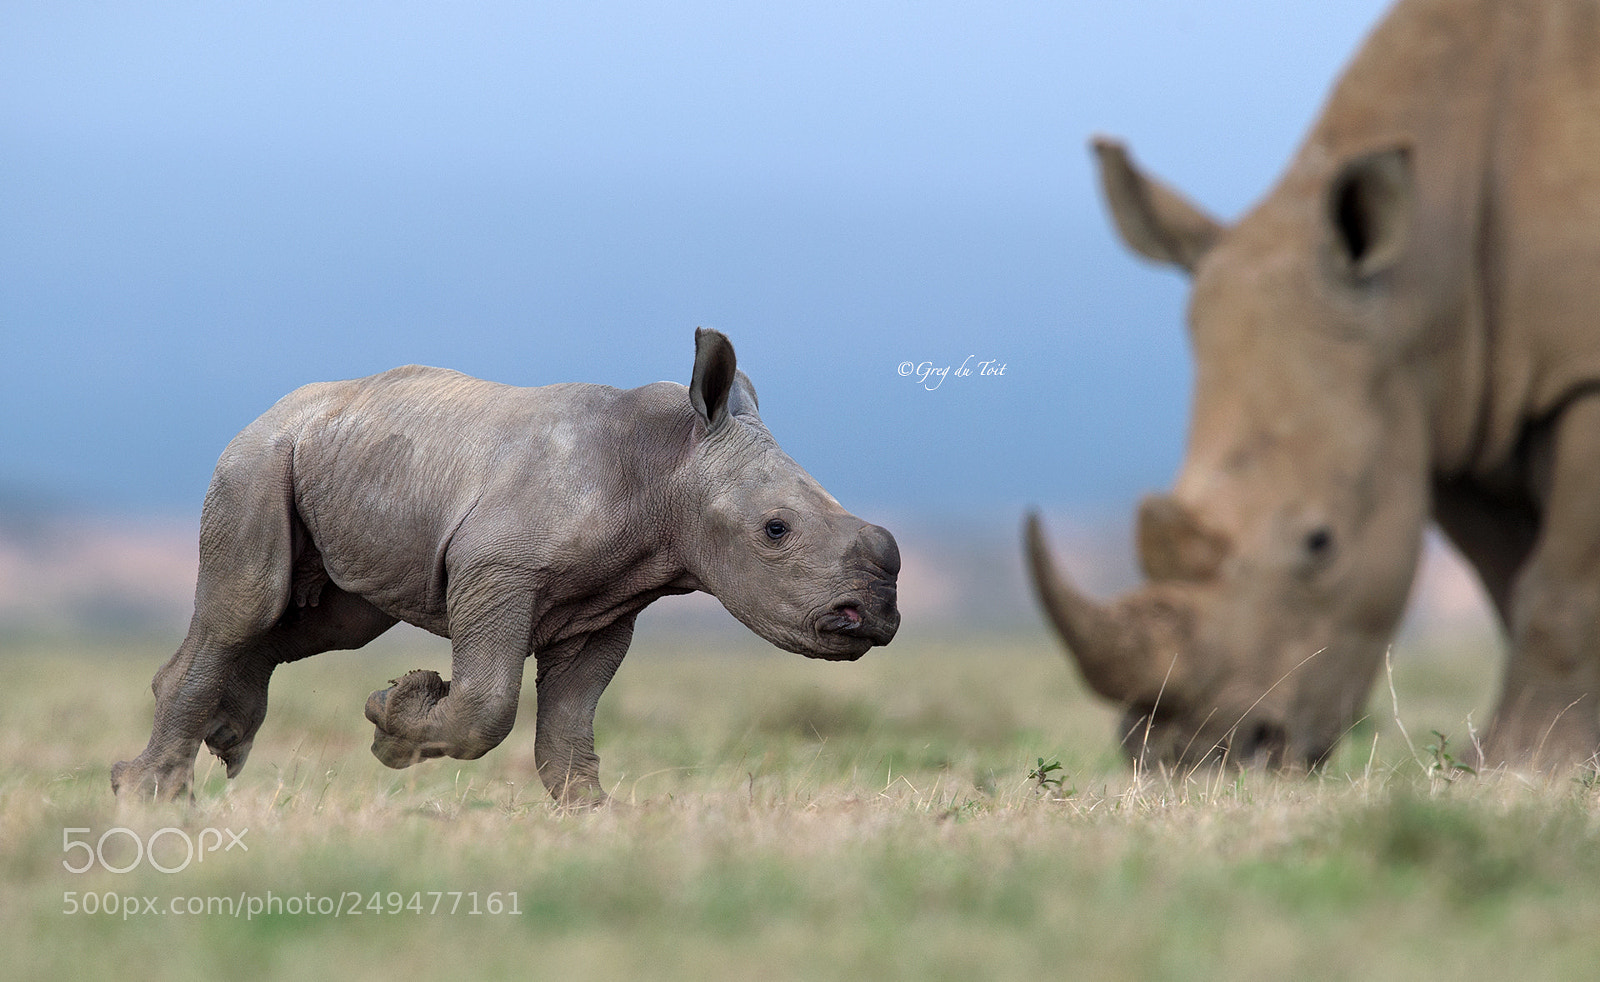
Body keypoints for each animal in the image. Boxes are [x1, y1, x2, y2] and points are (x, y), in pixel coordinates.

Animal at [113, 328, 900, 805]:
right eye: (776, 530)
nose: (874, 619)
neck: (667, 468)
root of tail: (273, 411)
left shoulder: (606, 606)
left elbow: (570, 722)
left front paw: (597, 815)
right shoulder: (496, 565)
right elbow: (488, 705)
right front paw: (394, 719)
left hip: (329, 459)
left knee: (323, 625)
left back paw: (214, 746)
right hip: (256, 458)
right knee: (250, 604)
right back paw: (153, 796)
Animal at [1028, 0, 1600, 772]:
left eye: (1320, 543)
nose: (1191, 755)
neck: (1423, 279)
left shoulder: (1572, 377)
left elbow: (1562, 584)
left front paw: (1524, 763)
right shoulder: (1453, 400)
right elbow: (1510, 576)